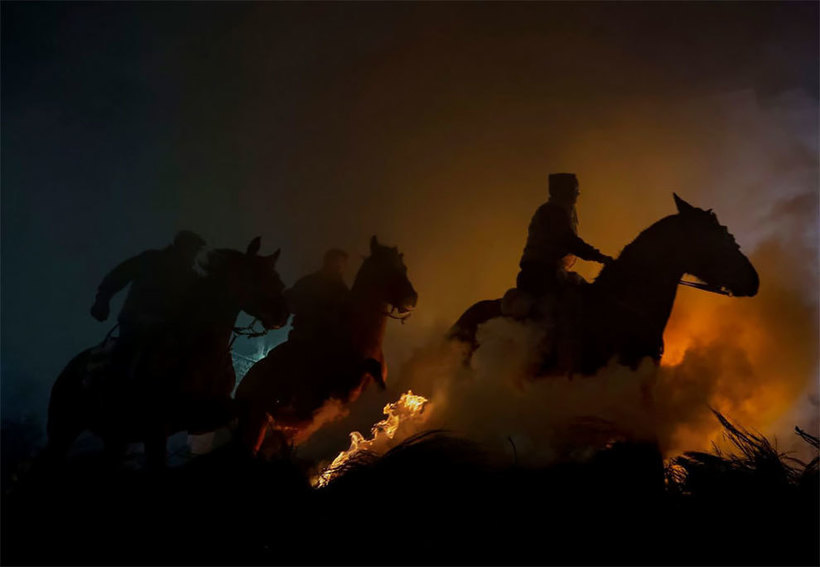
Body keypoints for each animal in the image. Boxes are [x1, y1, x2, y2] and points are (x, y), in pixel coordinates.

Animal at [44, 237, 290, 468]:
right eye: (257, 276)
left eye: (277, 278)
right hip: (63, 430)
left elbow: (248, 413)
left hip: (115, 439)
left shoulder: (210, 412)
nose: (282, 314)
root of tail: (75, 365)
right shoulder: (156, 430)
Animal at [235, 236, 416, 458]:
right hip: (255, 422)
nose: (411, 299)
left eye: (403, 267)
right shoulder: (344, 386)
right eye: (383, 267)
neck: (356, 336)